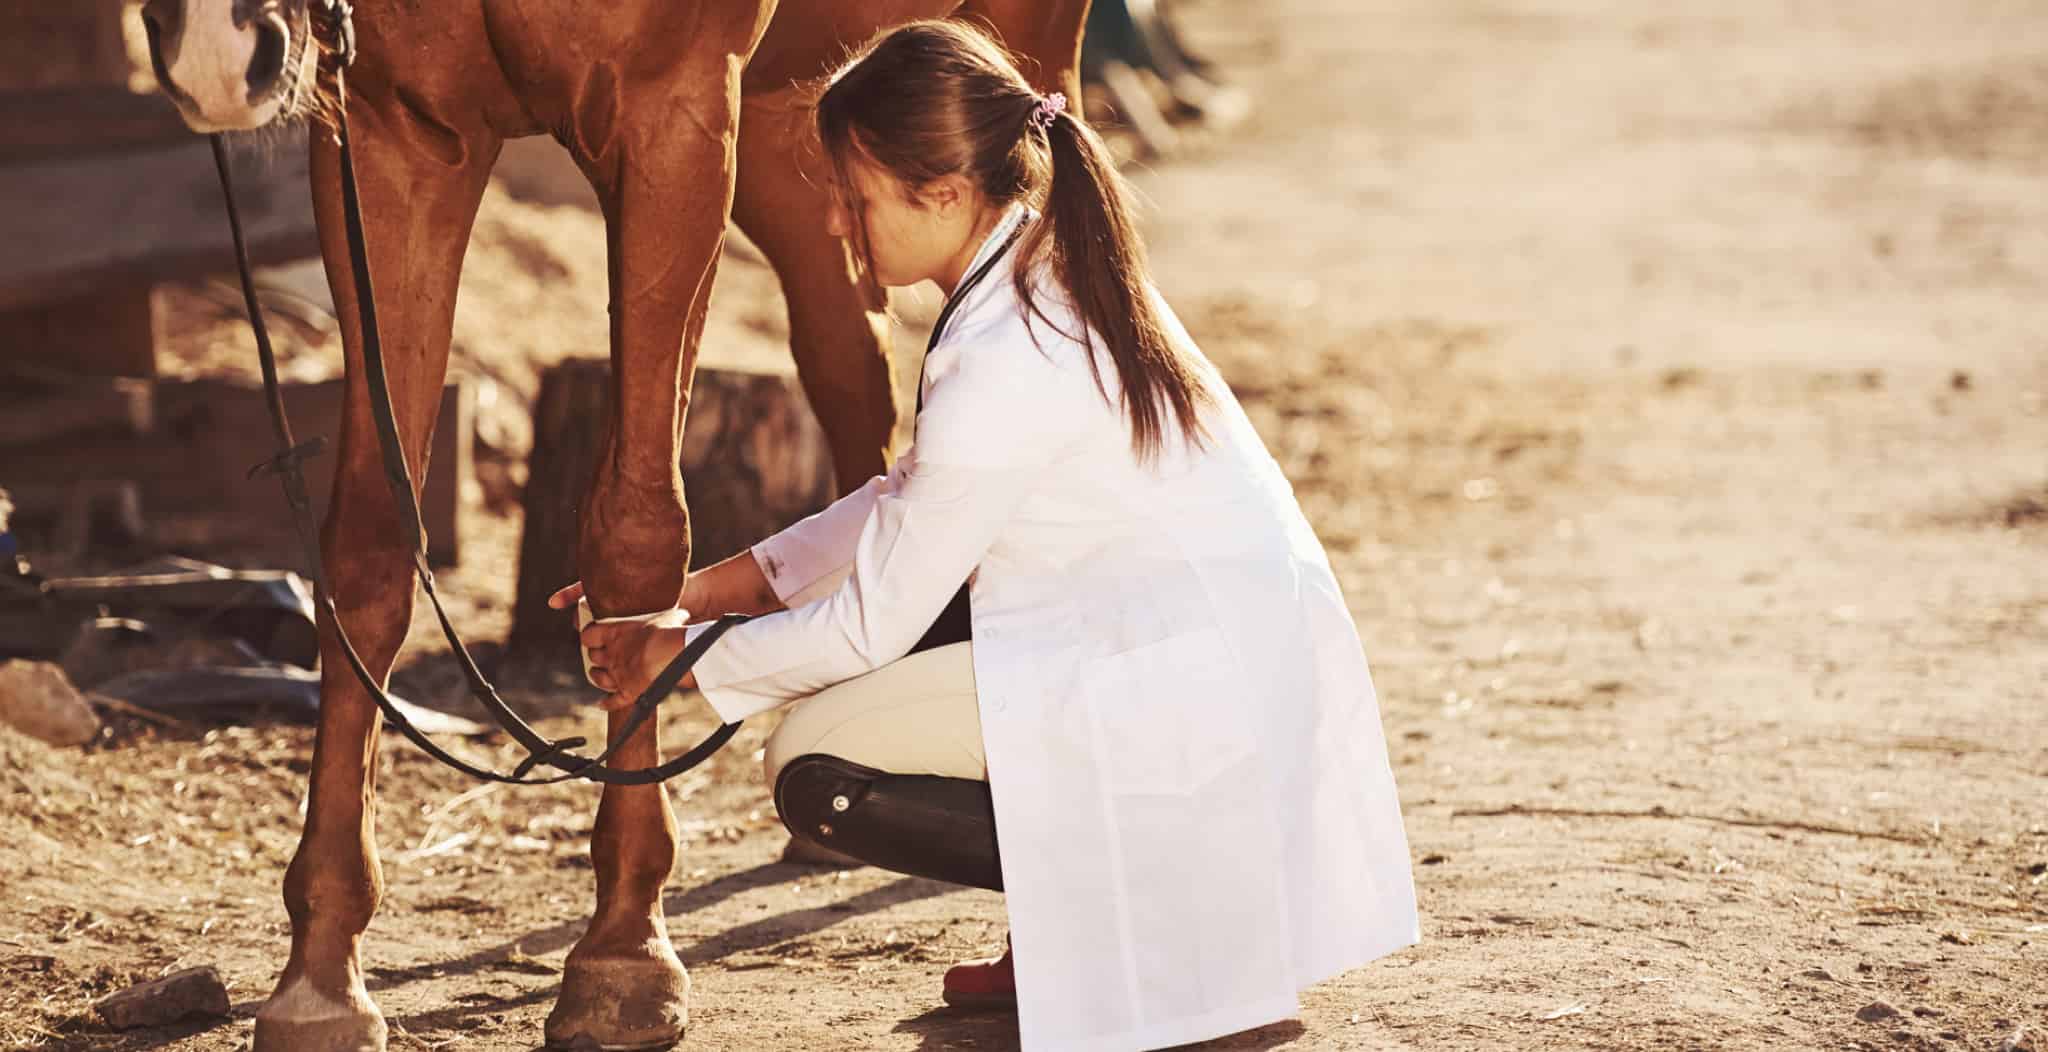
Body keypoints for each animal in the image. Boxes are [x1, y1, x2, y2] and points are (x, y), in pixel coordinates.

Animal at [138, 0, 1088, 1048]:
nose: (211, 53)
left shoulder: (673, 112)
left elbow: (638, 535)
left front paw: (624, 952)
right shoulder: (389, 131)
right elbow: (371, 549)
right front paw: (321, 975)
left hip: (1016, 52)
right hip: (788, 126)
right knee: (851, 363)